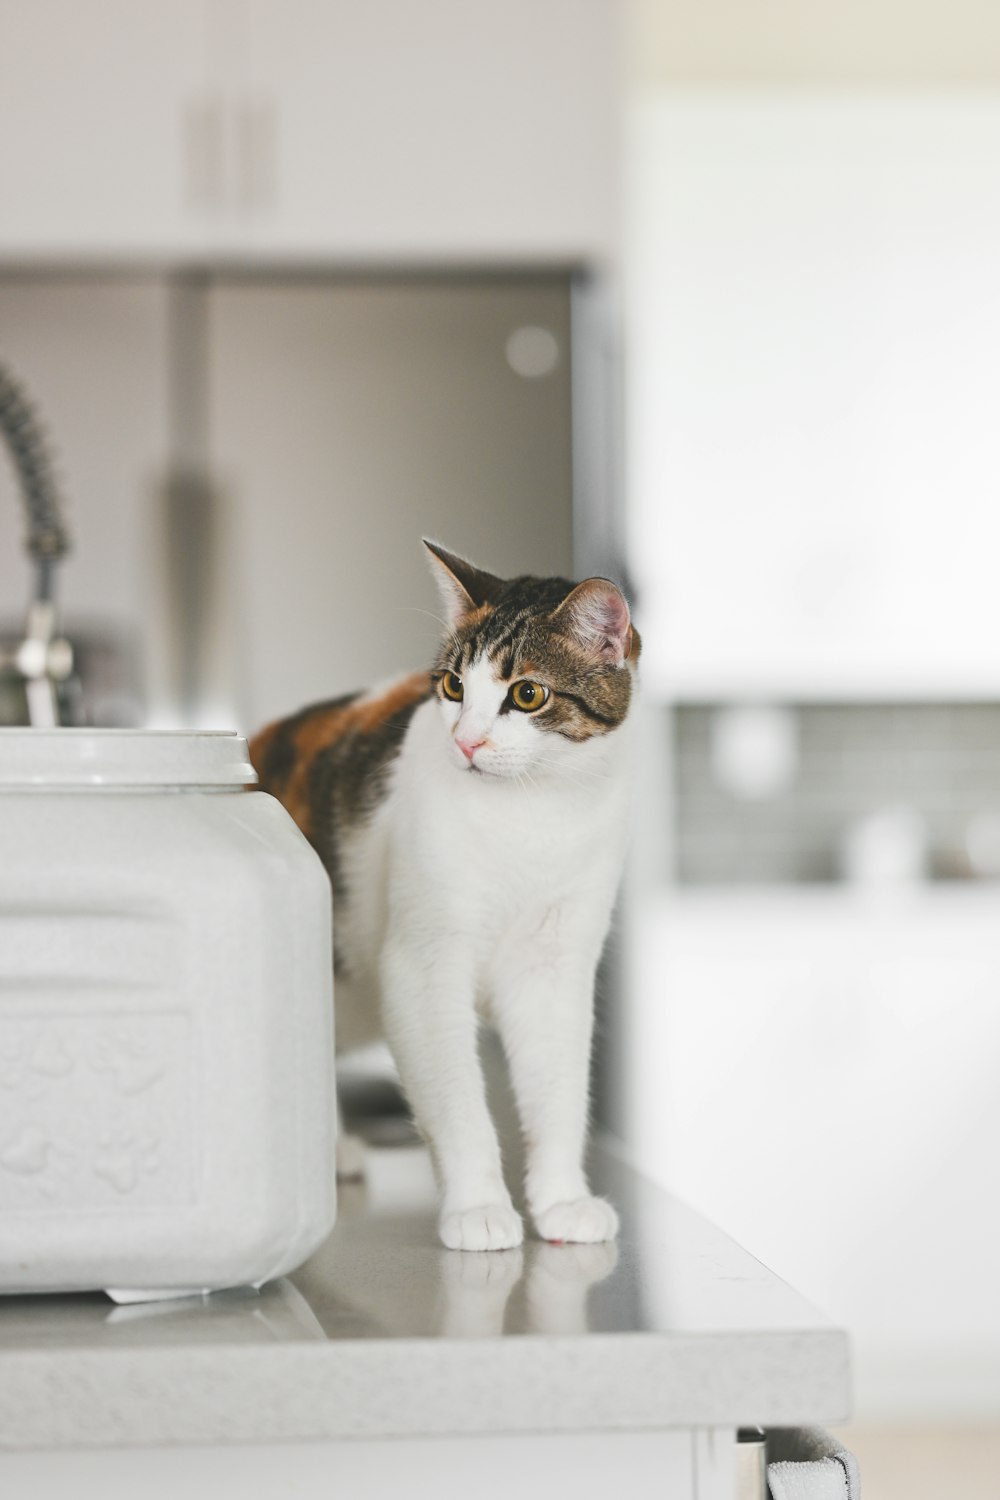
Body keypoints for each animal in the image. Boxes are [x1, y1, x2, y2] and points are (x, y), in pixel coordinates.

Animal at [250, 546, 641, 1248]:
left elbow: (558, 1090)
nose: (466, 741)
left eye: (528, 694)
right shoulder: (422, 967)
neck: (531, 817)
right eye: (454, 687)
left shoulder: (555, 967)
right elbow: (457, 1100)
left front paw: (562, 1199)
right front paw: (477, 1207)